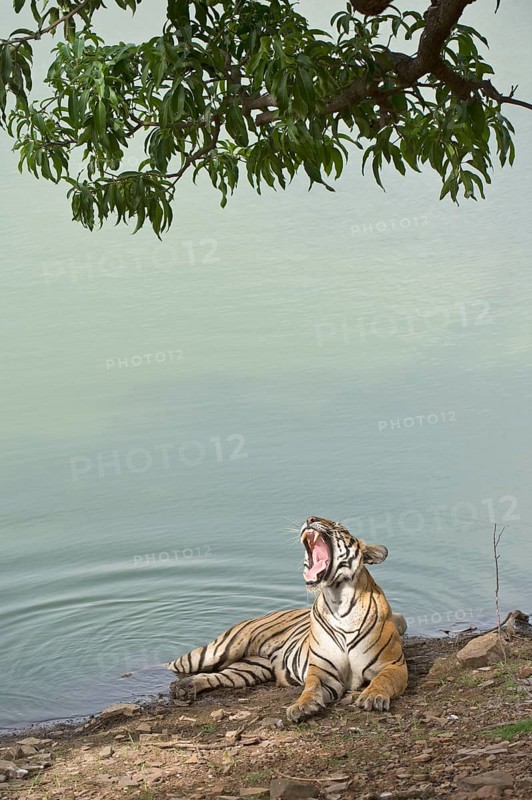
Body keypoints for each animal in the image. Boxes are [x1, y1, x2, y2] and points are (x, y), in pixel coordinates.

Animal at [167, 516, 408, 721]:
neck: (339, 601)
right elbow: (310, 688)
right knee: (176, 665)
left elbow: (382, 680)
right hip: (216, 651)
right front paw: (301, 706)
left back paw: (186, 688)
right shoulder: (322, 671)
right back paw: (181, 687)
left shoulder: (393, 665)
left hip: (249, 669)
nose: (310, 518)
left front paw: (372, 697)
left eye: (341, 527)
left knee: (219, 675)